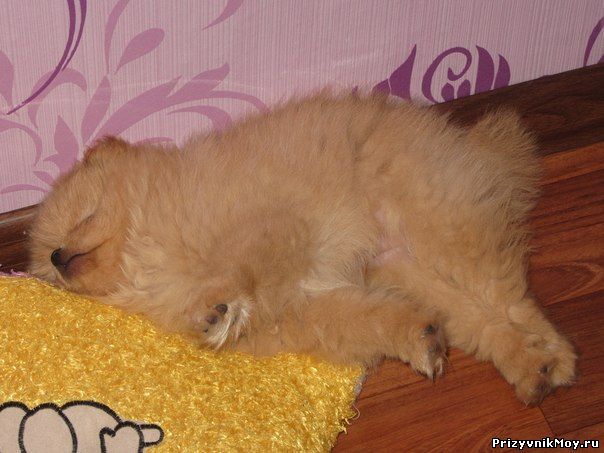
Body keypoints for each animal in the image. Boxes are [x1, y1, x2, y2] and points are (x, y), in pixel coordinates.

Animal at [28, 93, 576, 405]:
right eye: (50, 261)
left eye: (83, 217)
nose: (57, 257)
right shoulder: (313, 309)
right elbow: (376, 320)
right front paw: (419, 340)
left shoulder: (273, 227)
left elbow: (243, 268)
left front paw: (218, 308)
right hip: (408, 269)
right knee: (483, 323)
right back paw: (532, 369)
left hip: (440, 228)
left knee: (513, 300)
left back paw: (557, 357)